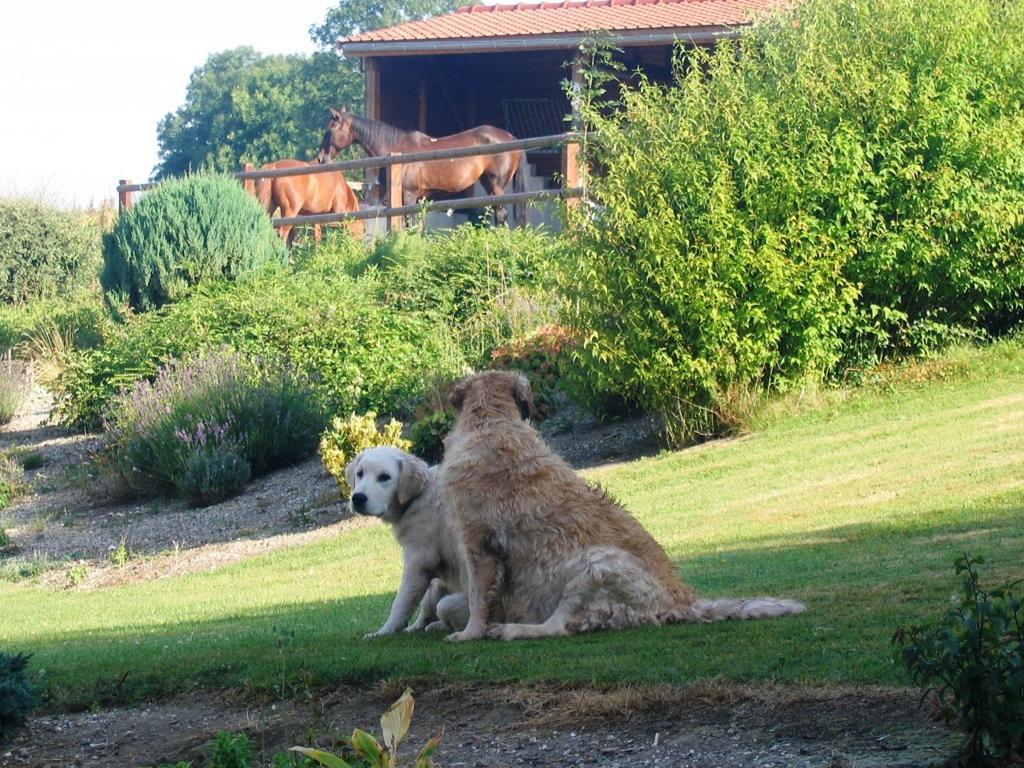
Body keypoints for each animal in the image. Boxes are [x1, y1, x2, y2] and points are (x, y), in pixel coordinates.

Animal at [313, 109, 524, 227]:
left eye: (330, 129)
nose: (321, 157)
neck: (396, 149)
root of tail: (511, 137)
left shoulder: (409, 196)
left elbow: (409, 223)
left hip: (497, 186)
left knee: (501, 214)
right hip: (489, 185)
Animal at [348, 444, 468, 638]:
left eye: (384, 477)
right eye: (360, 473)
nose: (357, 498)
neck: (417, 498)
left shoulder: (418, 561)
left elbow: (401, 601)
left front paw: (384, 632)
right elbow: (425, 601)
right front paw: (413, 627)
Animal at [440, 372, 806, 643]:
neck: (491, 421)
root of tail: (685, 603)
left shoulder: (477, 542)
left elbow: (477, 596)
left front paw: (469, 633)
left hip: (595, 566)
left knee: (559, 627)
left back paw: (512, 629)